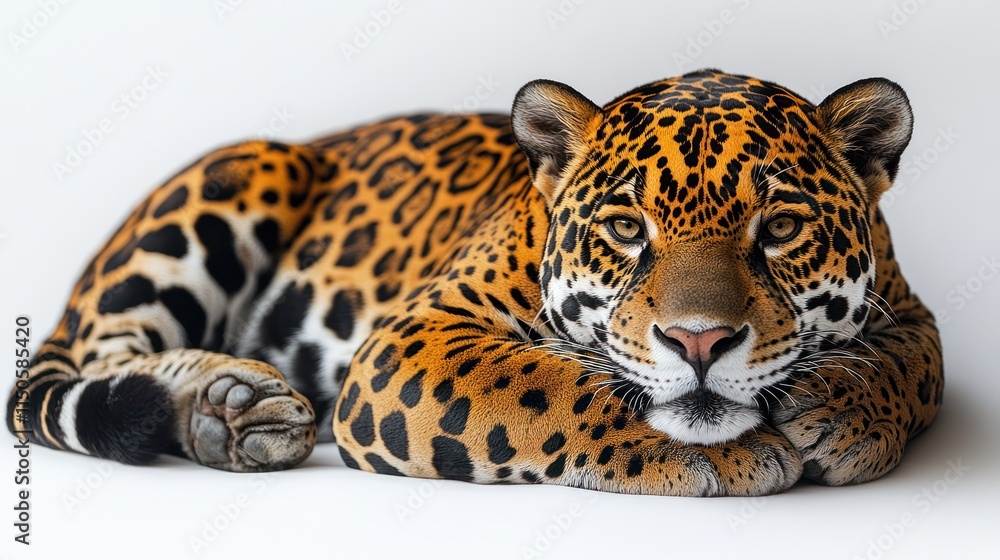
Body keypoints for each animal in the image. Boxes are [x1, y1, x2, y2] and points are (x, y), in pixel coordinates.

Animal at [7, 70, 944, 496]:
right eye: (626, 229)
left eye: (780, 229)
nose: (700, 342)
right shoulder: (413, 336)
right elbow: (554, 383)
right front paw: (731, 446)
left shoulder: (912, 306)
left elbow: (918, 363)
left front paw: (845, 413)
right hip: (243, 172)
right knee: (102, 355)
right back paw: (232, 402)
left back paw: (232, 412)